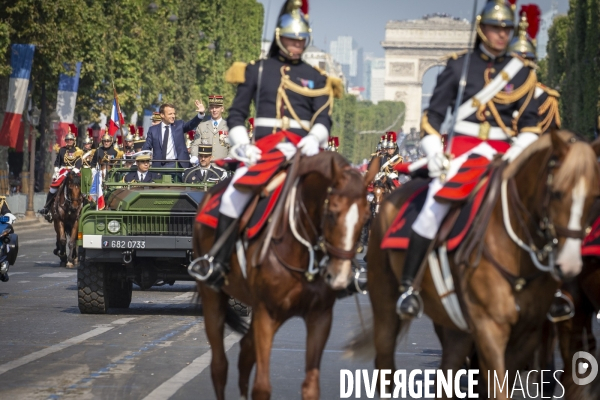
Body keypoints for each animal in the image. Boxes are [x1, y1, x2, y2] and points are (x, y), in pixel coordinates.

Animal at [193, 152, 380, 398]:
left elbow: (311, 387)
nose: (339, 277)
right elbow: (261, 387)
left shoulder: (319, 317)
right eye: (331, 213)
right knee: (219, 366)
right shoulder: (266, 314)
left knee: (245, 352)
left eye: (366, 217)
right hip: (213, 297)